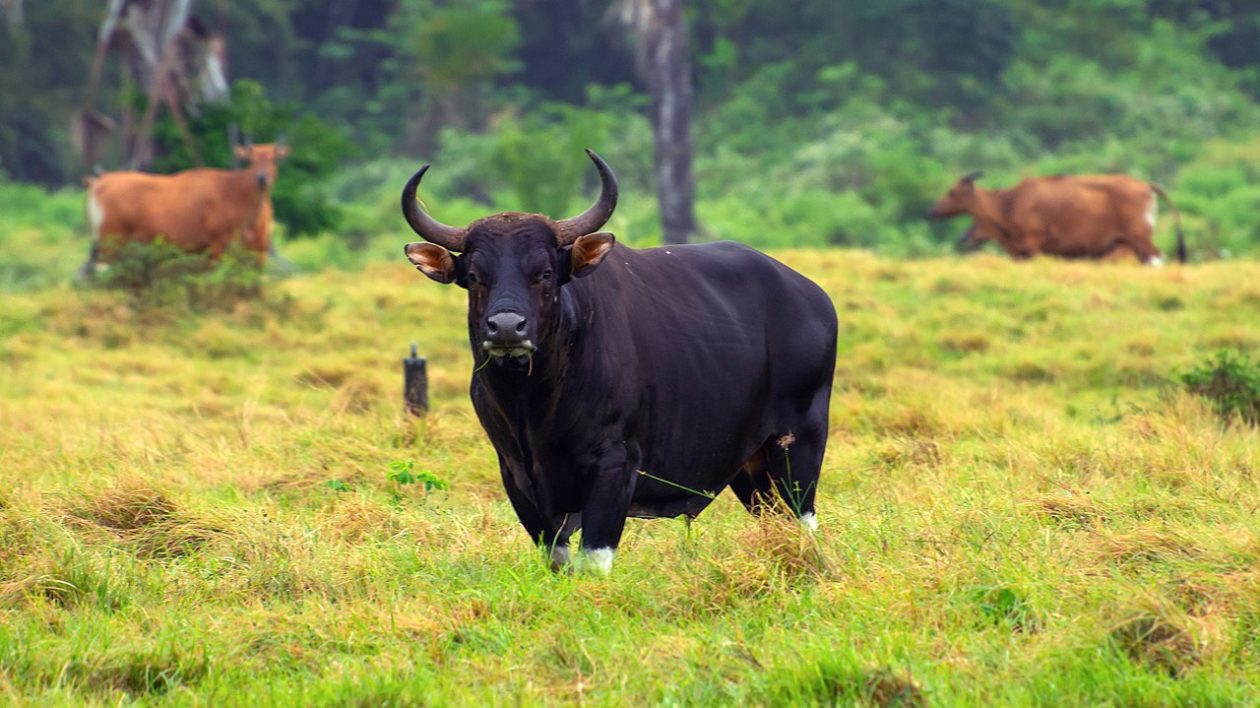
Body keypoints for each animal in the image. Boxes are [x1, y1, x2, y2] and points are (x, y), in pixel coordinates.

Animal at [82, 141, 288, 274]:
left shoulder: (257, 251)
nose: (261, 178)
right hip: (111, 239)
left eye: (274, 159)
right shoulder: (217, 245)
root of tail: (98, 183)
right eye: (251, 160)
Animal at [398, 149, 841, 574]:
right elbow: (557, 559)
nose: (507, 327)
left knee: (802, 520)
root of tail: (815, 298)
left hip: (798, 444)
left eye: (544, 272)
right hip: (751, 468)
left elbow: (595, 559)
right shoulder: (516, 474)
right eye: (474, 275)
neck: (535, 405)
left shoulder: (614, 467)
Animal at [932, 172, 1184, 264]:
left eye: (951, 191)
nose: (932, 211)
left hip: (1141, 238)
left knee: (1157, 258)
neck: (1010, 202)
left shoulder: (1032, 247)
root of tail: (1145, 185)